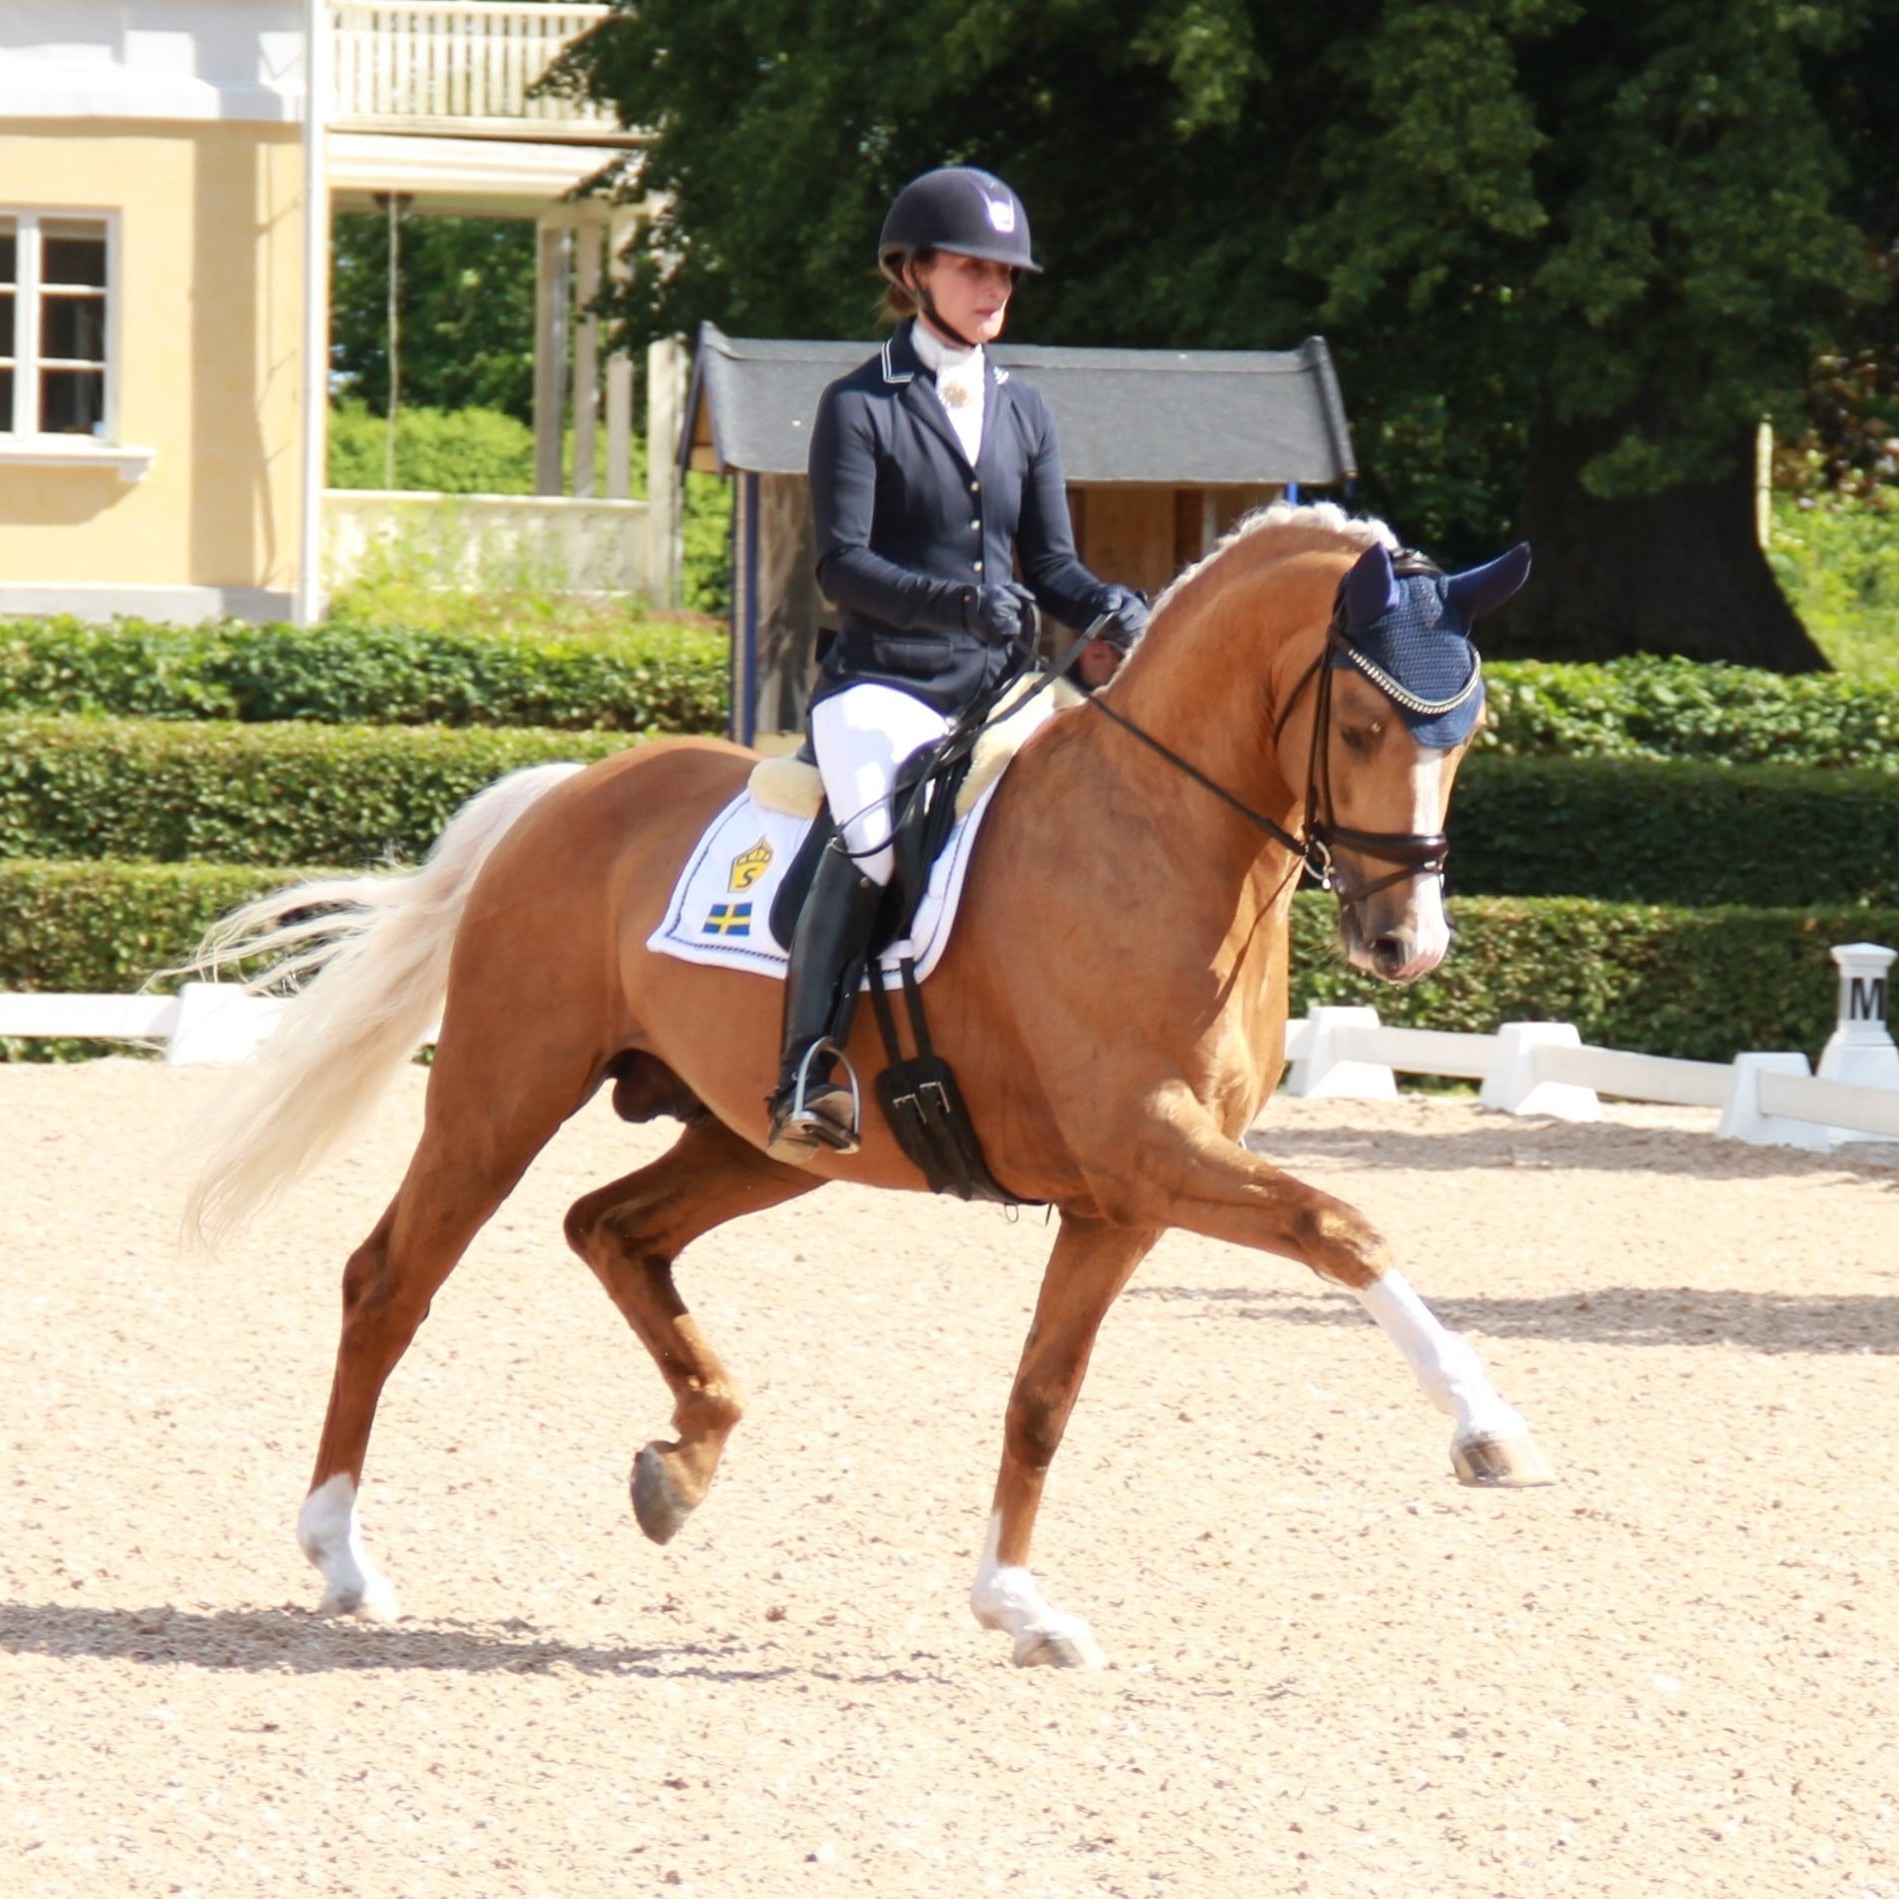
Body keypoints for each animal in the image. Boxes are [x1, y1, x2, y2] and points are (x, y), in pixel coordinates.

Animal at [188, 501, 1557, 1663]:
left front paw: (1016, 1605)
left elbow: (1042, 1395)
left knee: (613, 1228)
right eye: (1365, 728)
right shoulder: (1149, 1147)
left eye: (1467, 735)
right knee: (393, 1279)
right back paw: (343, 1558)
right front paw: (1490, 1433)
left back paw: (681, 1464)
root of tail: (569, 791)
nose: (1405, 945)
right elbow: (1344, 1226)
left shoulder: (1123, 1198)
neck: (1166, 837)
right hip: (502, 1092)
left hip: (761, 1138)